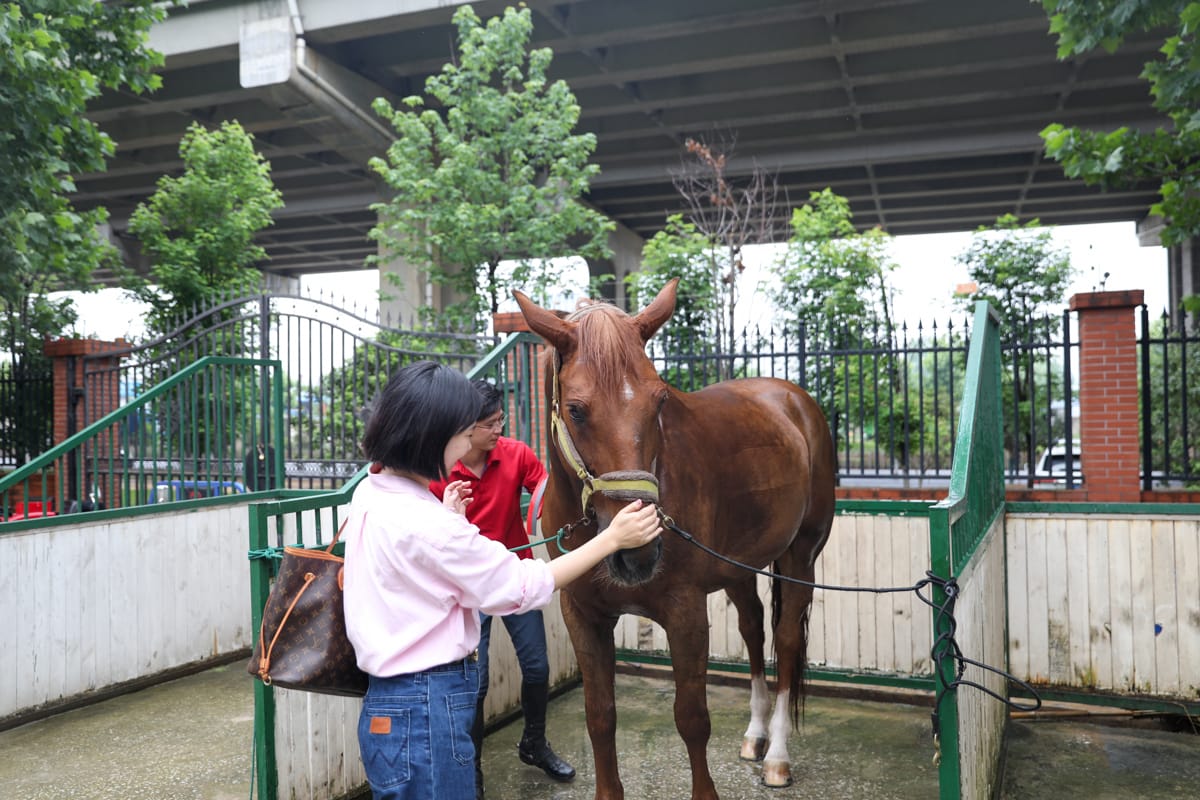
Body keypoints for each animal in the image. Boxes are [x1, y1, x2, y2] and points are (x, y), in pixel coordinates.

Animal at [514, 279, 836, 800]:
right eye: (577, 410)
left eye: (660, 401)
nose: (638, 554)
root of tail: (793, 399)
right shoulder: (582, 616)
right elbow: (599, 717)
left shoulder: (685, 614)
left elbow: (692, 719)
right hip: (738, 567)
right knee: (753, 628)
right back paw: (756, 736)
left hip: (800, 557)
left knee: (786, 641)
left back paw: (778, 756)